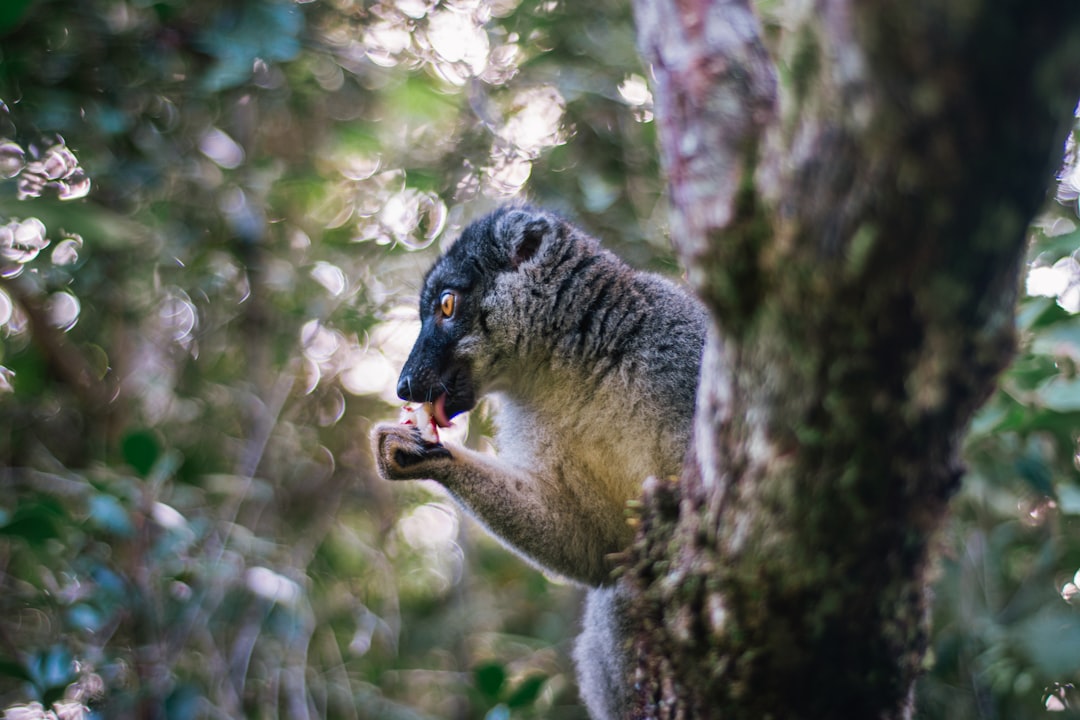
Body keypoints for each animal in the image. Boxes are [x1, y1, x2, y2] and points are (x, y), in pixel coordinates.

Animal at [371, 205, 707, 719]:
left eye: (447, 306)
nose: (405, 384)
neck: (571, 365)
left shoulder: (681, 345)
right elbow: (599, 548)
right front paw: (416, 455)